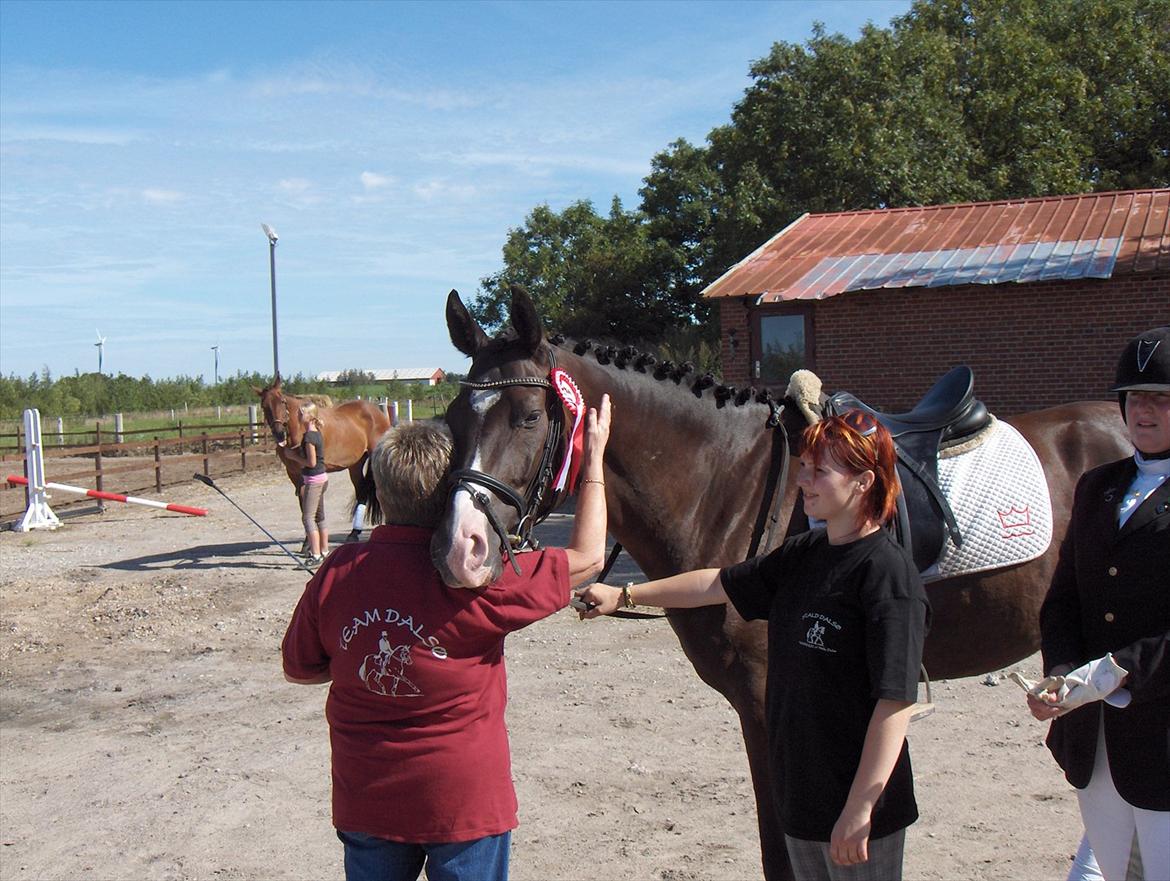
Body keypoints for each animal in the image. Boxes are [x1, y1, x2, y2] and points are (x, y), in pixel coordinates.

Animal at [255, 376, 390, 540]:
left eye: (282, 401)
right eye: (264, 406)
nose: (279, 433)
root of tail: (376, 412)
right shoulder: (293, 474)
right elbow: (304, 506)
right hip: (355, 464)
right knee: (361, 492)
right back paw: (354, 532)